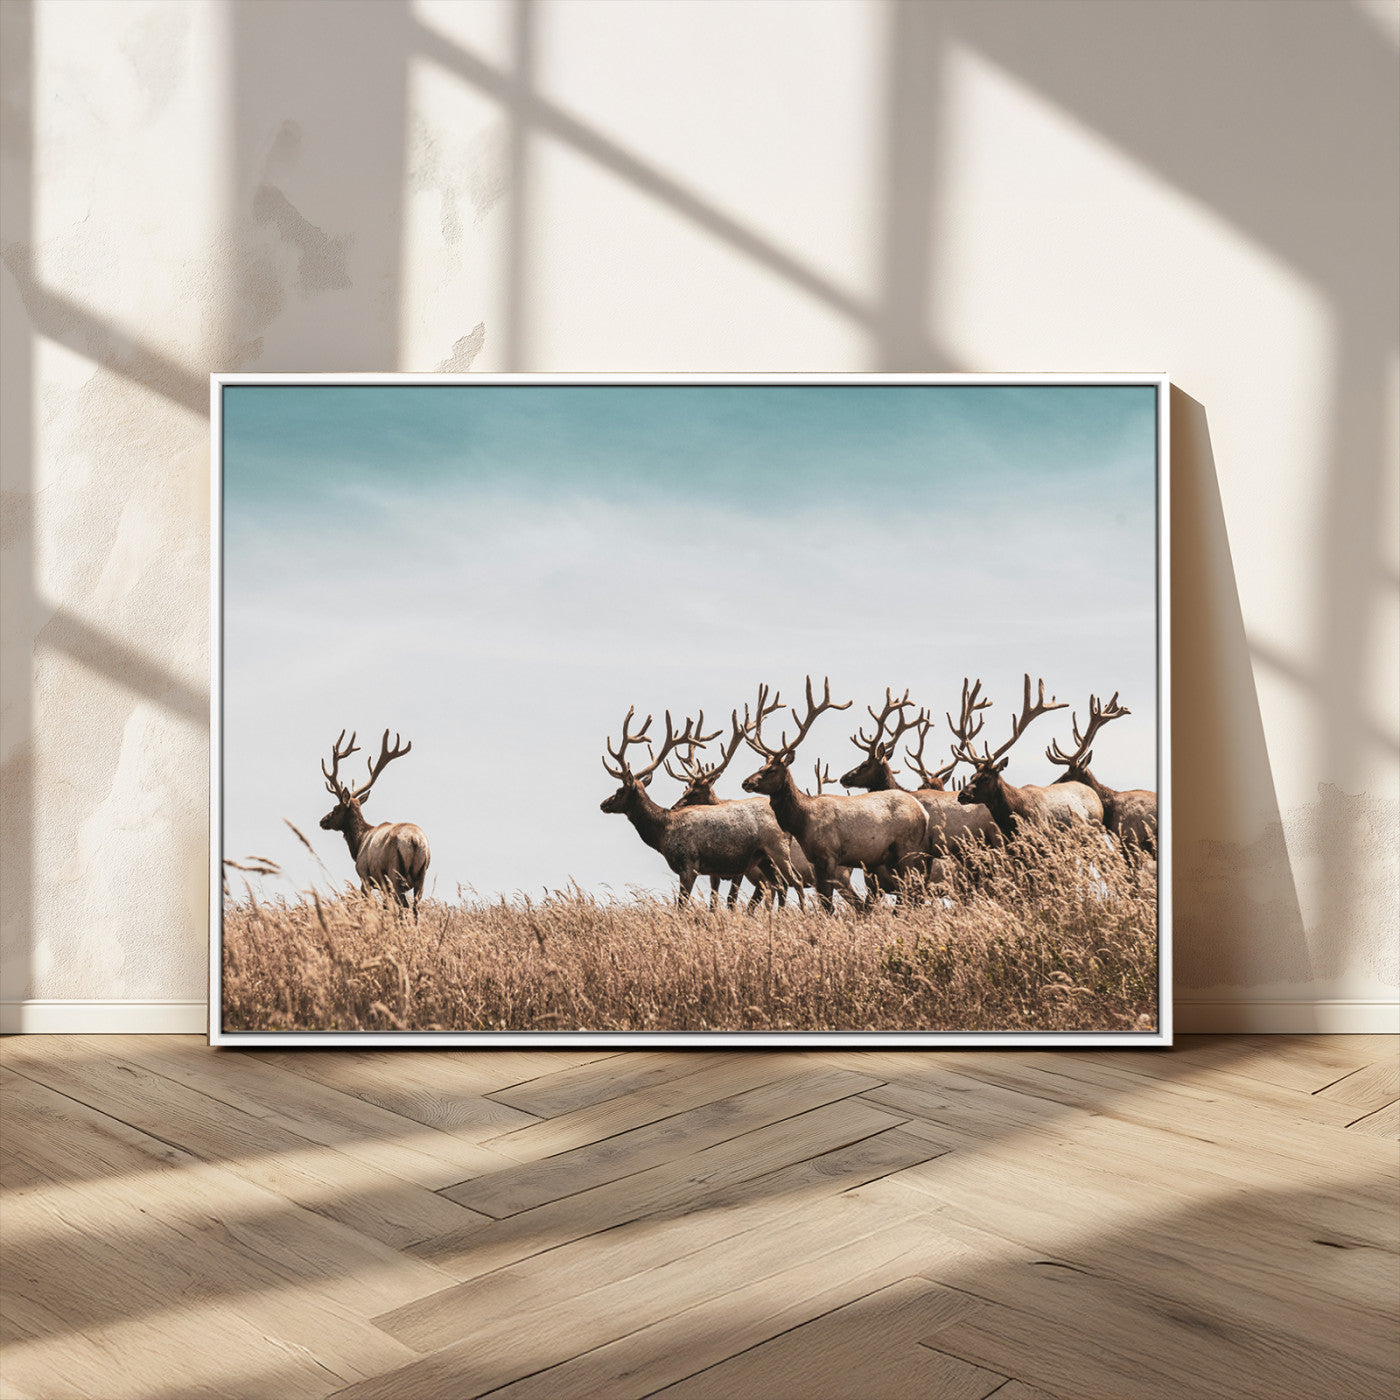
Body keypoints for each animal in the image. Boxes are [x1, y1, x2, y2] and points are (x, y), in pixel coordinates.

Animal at [319, 729, 431, 907]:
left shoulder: (365, 876)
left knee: (403, 906)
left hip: (394, 873)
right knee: (414, 907)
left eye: (336, 809)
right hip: (422, 875)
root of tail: (415, 840)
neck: (359, 843)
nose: (322, 821)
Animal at [600, 707, 799, 906]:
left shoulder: (689, 863)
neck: (663, 831)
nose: (603, 804)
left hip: (777, 848)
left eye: (620, 790)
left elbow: (682, 904)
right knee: (780, 885)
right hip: (764, 858)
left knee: (791, 881)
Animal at [741, 677, 928, 909]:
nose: (746, 782)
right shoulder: (816, 860)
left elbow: (827, 903)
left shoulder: (828, 856)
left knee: (913, 889)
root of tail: (924, 813)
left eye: (772, 770)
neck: (802, 821)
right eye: (761, 765)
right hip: (894, 856)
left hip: (907, 847)